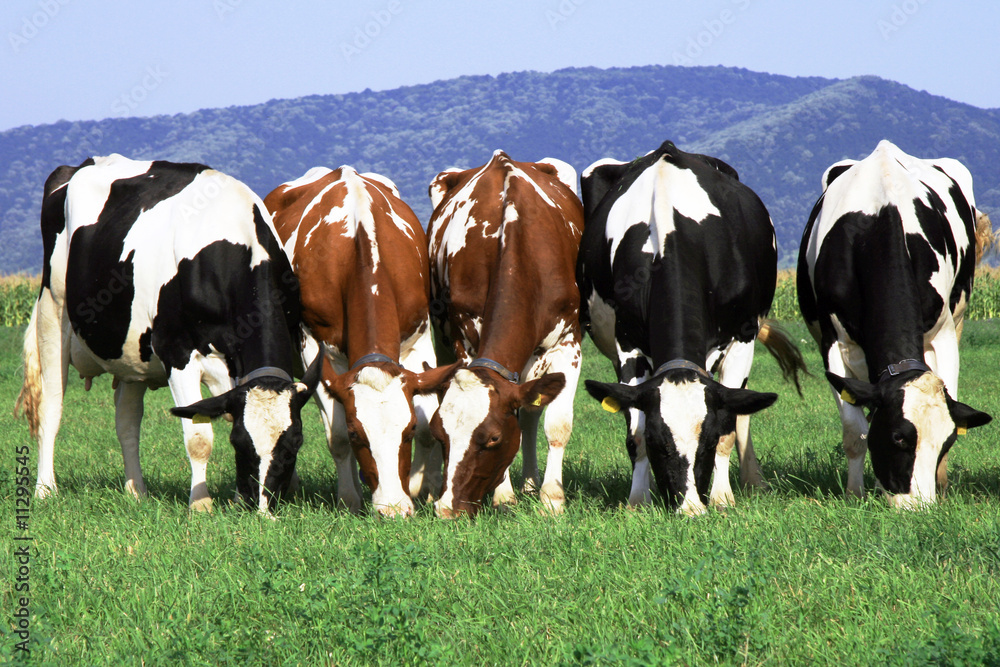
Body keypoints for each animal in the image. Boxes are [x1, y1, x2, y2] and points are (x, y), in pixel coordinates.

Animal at [15, 154, 321, 514]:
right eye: (240, 443)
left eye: (296, 442)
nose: (262, 510)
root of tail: (80, 164)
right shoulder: (178, 351)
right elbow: (199, 438)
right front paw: (201, 506)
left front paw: (238, 498)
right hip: (53, 310)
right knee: (51, 404)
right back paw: (45, 489)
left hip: (132, 351)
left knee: (127, 421)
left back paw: (136, 491)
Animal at [265, 166, 456, 517]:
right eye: (358, 433)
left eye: (407, 430)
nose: (392, 510)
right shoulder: (316, 349)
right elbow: (337, 436)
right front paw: (349, 499)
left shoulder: (418, 338)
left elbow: (428, 425)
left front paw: (419, 488)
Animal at [426, 150, 582, 517]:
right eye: (441, 435)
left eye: (493, 438)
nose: (447, 509)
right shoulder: (464, 342)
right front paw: (504, 495)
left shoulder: (568, 344)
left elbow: (556, 424)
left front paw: (552, 499)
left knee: (530, 414)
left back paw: (532, 484)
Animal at [578, 140, 805, 515]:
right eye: (659, 442)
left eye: (707, 441)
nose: (690, 508)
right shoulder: (626, 341)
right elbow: (634, 428)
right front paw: (638, 500)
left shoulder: (742, 337)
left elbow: (730, 423)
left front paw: (723, 498)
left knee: (742, 411)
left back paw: (753, 481)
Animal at [797, 140, 992, 507]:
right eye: (899, 438)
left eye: (946, 442)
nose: (920, 507)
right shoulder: (834, 342)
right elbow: (855, 431)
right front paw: (855, 493)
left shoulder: (944, 333)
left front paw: (940, 485)